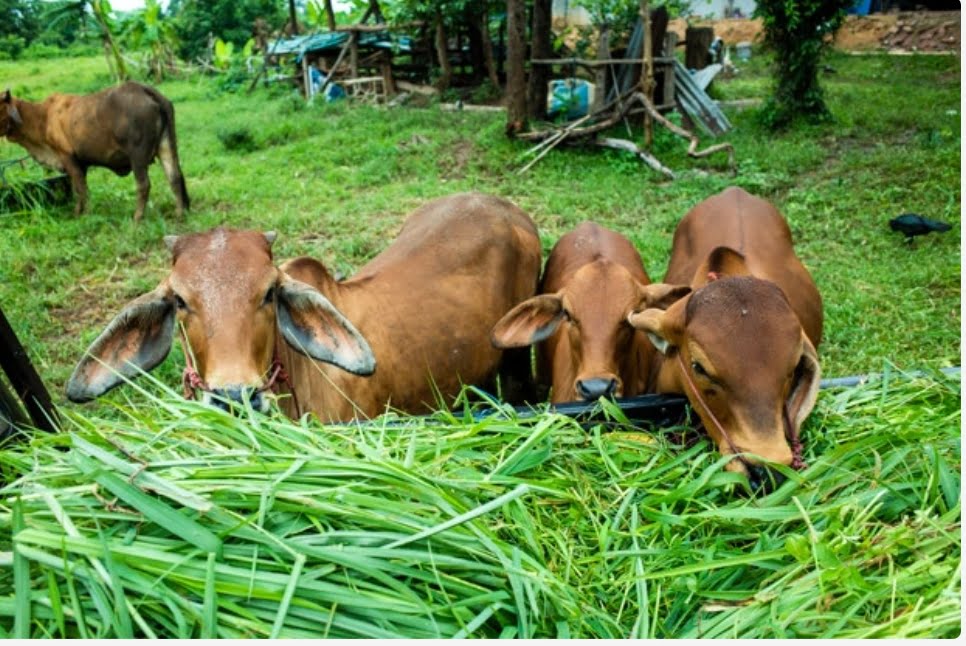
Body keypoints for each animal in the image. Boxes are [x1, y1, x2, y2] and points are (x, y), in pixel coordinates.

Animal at [0, 82, 189, 220]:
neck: (42, 118)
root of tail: (145, 89)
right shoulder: (80, 163)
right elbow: (80, 188)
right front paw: (81, 210)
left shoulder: (67, 157)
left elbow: (80, 189)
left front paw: (83, 214)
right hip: (166, 145)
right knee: (175, 176)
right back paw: (180, 214)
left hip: (138, 155)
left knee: (144, 184)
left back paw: (137, 217)